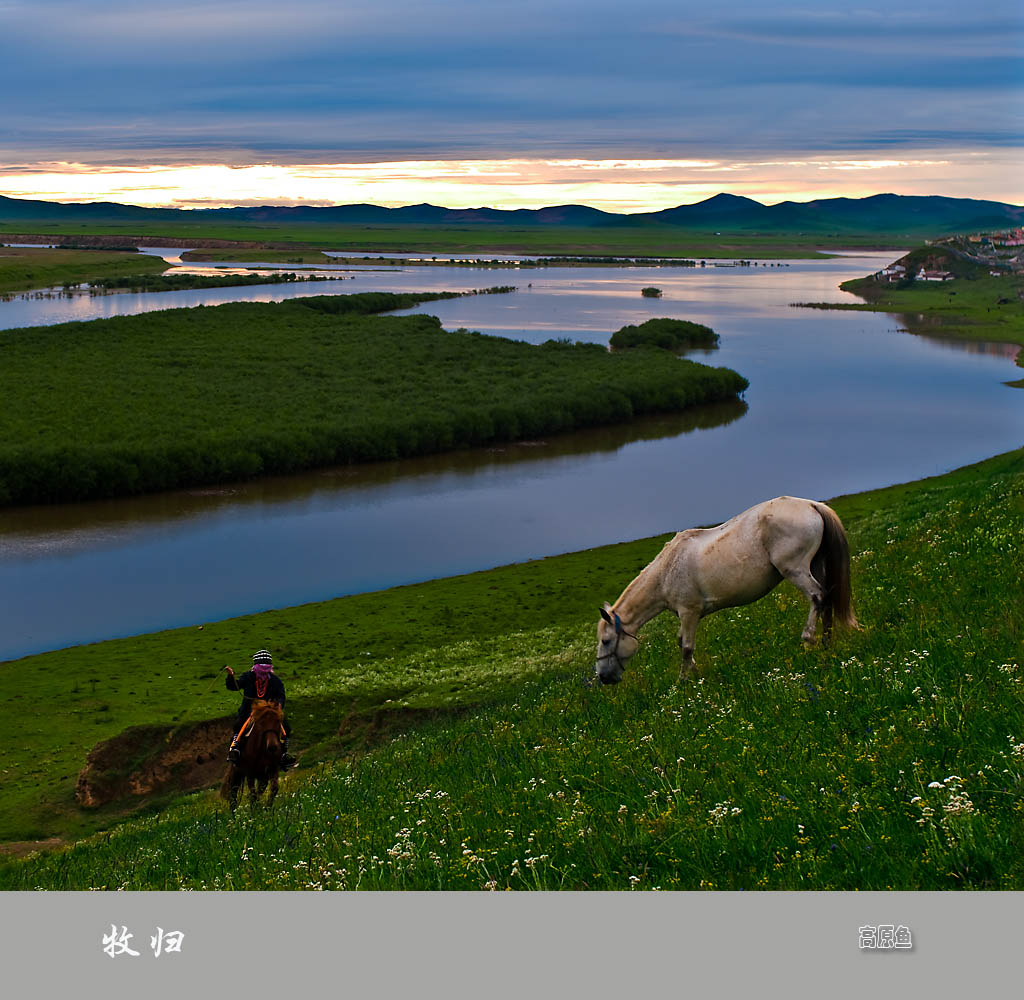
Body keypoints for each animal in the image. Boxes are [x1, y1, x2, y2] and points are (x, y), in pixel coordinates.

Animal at [598, 495, 860, 683]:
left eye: (606, 641)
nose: (602, 678)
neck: (666, 571)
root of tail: (812, 504)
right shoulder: (686, 615)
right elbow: (682, 642)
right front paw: (695, 674)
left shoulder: (689, 612)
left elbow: (686, 647)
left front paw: (683, 681)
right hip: (816, 565)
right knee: (827, 599)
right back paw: (827, 642)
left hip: (796, 570)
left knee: (817, 597)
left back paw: (808, 641)